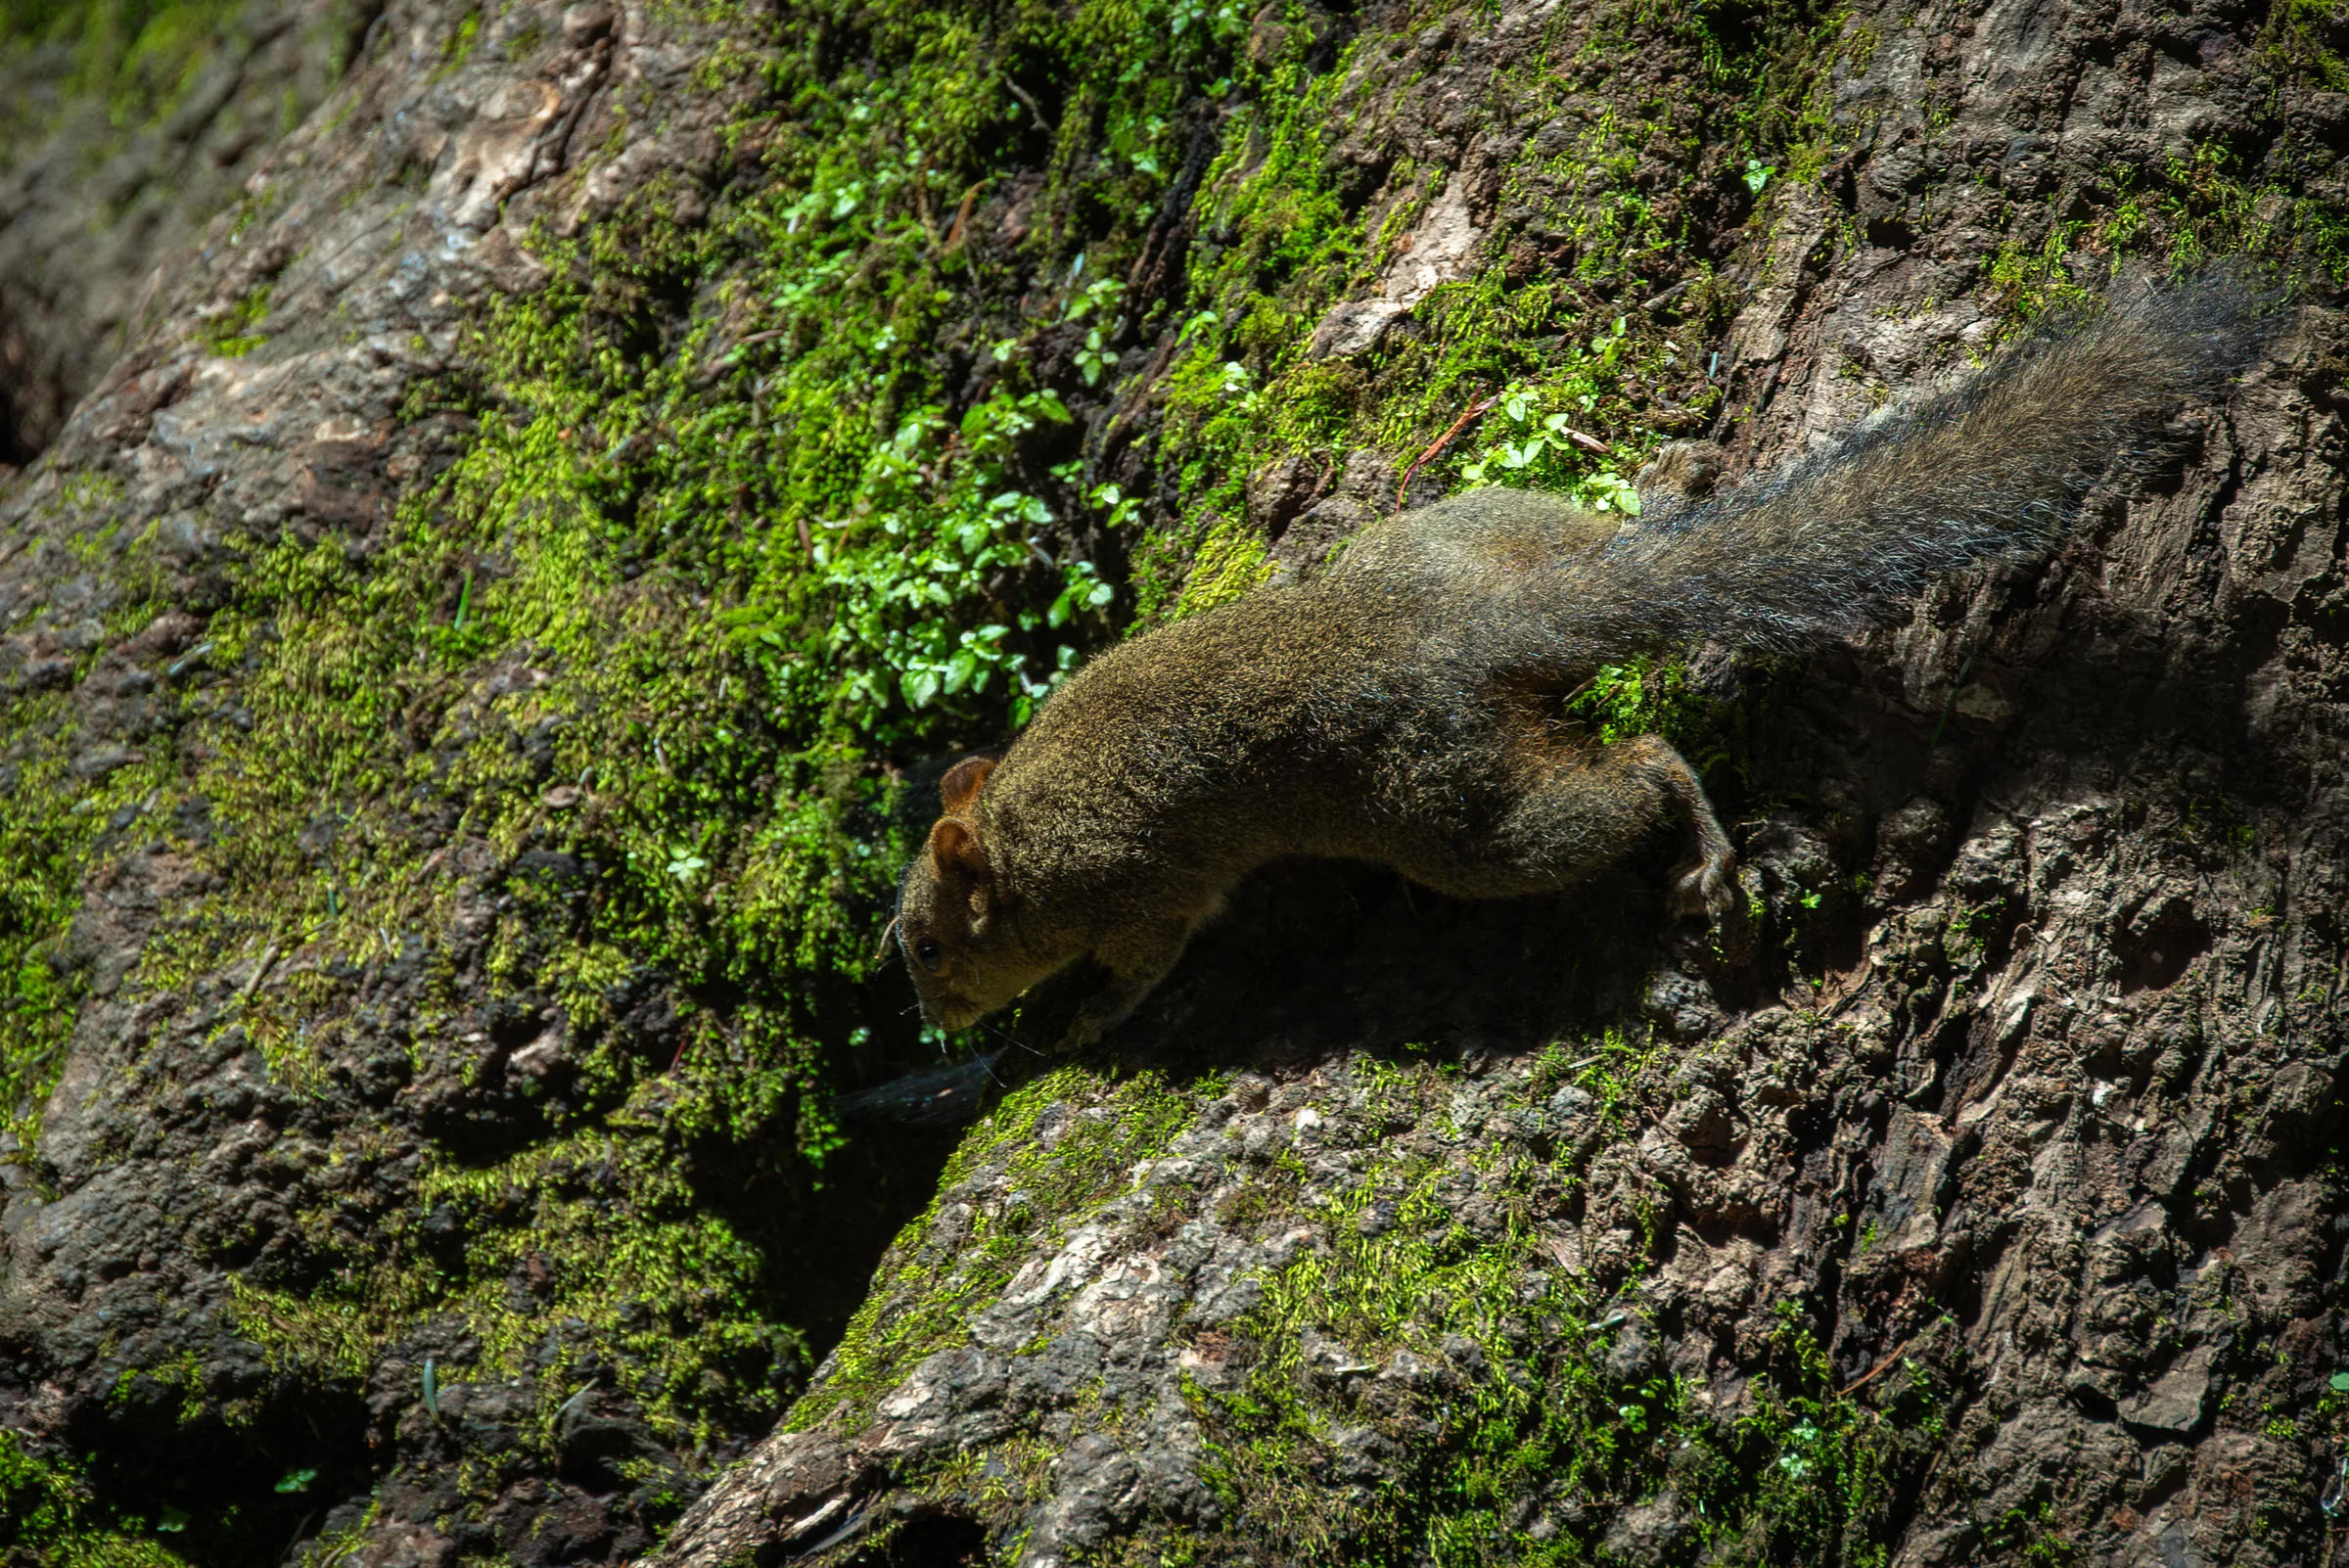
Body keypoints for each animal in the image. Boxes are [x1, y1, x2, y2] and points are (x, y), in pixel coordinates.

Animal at [889, 272, 2269, 1048]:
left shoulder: (1138, 896)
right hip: (1480, 533)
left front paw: (1078, 1023)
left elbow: (1141, 969)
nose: (940, 1025)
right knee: (1606, 549)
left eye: (929, 952)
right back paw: (1674, 484)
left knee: (1633, 775)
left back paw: (1702, 843)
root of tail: (1486, 628)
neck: (1020, 829)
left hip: (1455, 813)